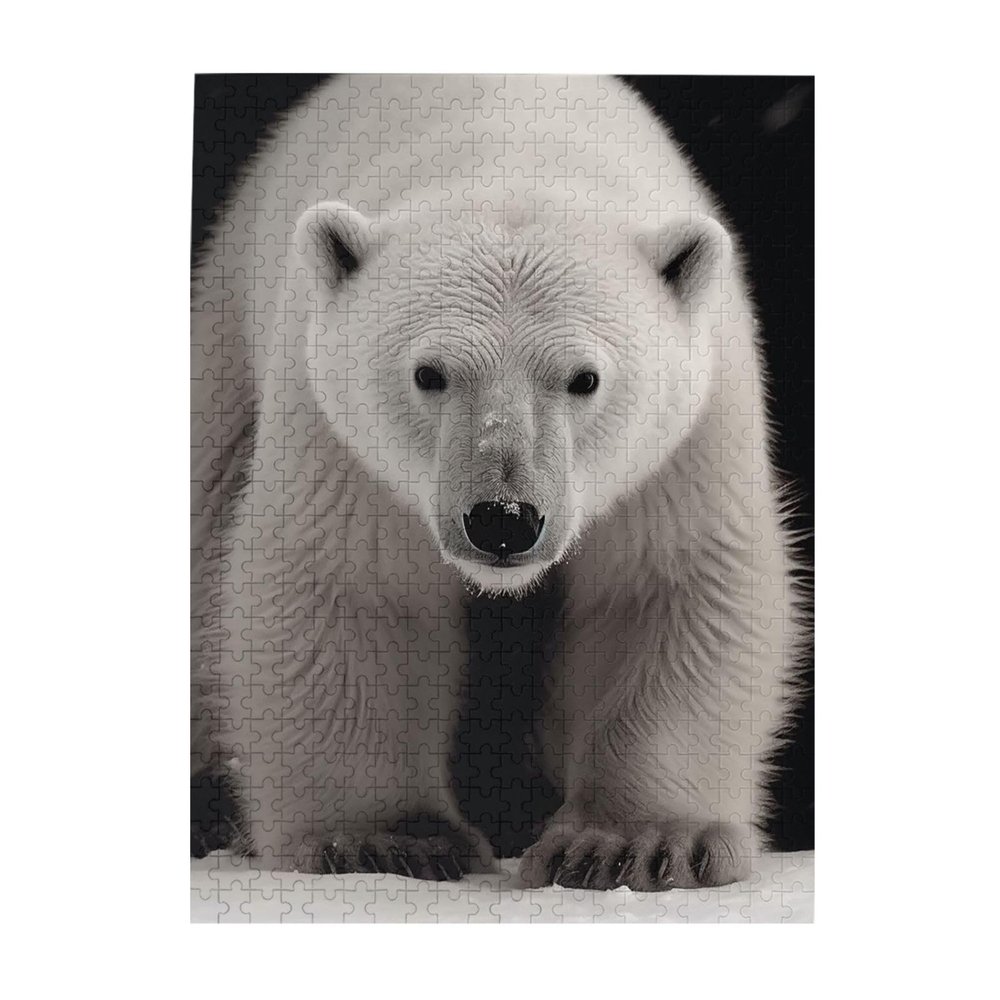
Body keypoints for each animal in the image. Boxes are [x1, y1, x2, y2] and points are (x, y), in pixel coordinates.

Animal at [191, 74, 803, 889]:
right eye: (429, 373)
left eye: (584, 378)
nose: (503, 517)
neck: (511, 151)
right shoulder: (335, 431)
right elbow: (354, 589)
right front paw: (387, 841)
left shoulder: (689, 431)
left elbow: (663, 586)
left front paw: (633, 844)